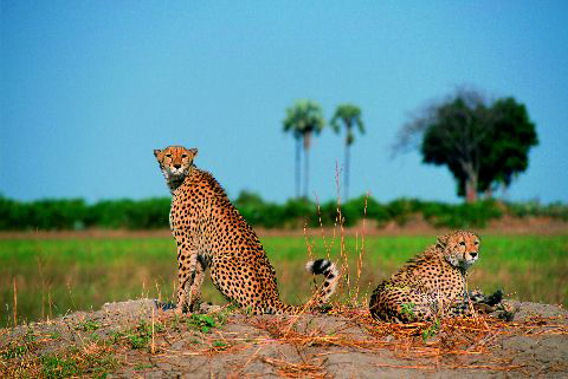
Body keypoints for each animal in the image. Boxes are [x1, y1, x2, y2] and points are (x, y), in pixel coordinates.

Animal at [153, 145, 338, 314]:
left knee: (251, 309)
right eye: (169, 155)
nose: (177, 165)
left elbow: (184, 278)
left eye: (184, 156)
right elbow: (196, 278)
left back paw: (222, 310)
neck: (184, 177)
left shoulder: (185, 244)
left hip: (219, 263)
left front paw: (177, 309)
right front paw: (193, 307)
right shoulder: (198, 249)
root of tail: (273, 297)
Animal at [370, 232, 504, 324]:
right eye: (462, 243)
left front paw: (490, 296)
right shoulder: (448, 303)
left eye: (476, 243)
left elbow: (472, 296)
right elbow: (469, 302)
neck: (449, 259)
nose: (474, 254)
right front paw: (491, 302)